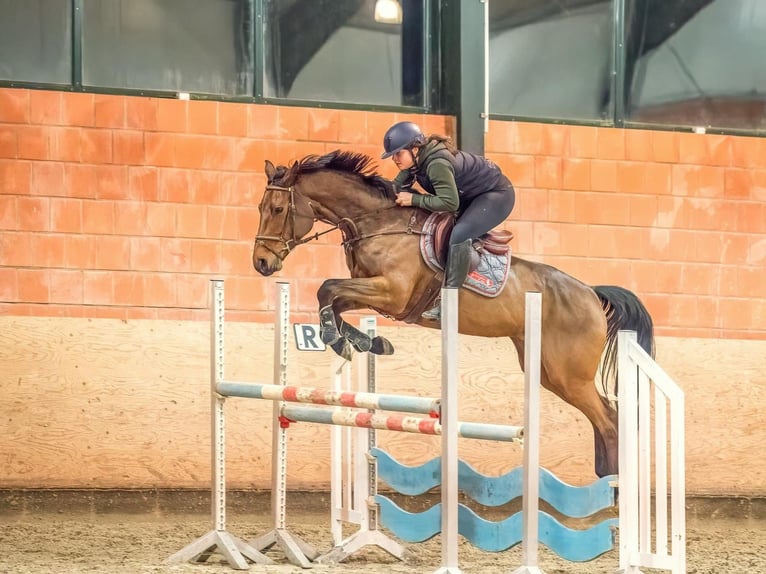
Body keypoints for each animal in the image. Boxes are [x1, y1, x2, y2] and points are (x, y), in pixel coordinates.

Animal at [252, 151, 656, 480]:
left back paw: (613, 490)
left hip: (568, 375)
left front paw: (338, 340)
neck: (377, 223)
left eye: (277, 210)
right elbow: (333, 299)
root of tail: (590, 293)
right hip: (545, 369)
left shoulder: (391, 293)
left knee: (609, 420)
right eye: (260, 208)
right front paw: (368, 342)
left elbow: (327, 289)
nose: (261, 263)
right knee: (604, 418)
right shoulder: (372, 292)